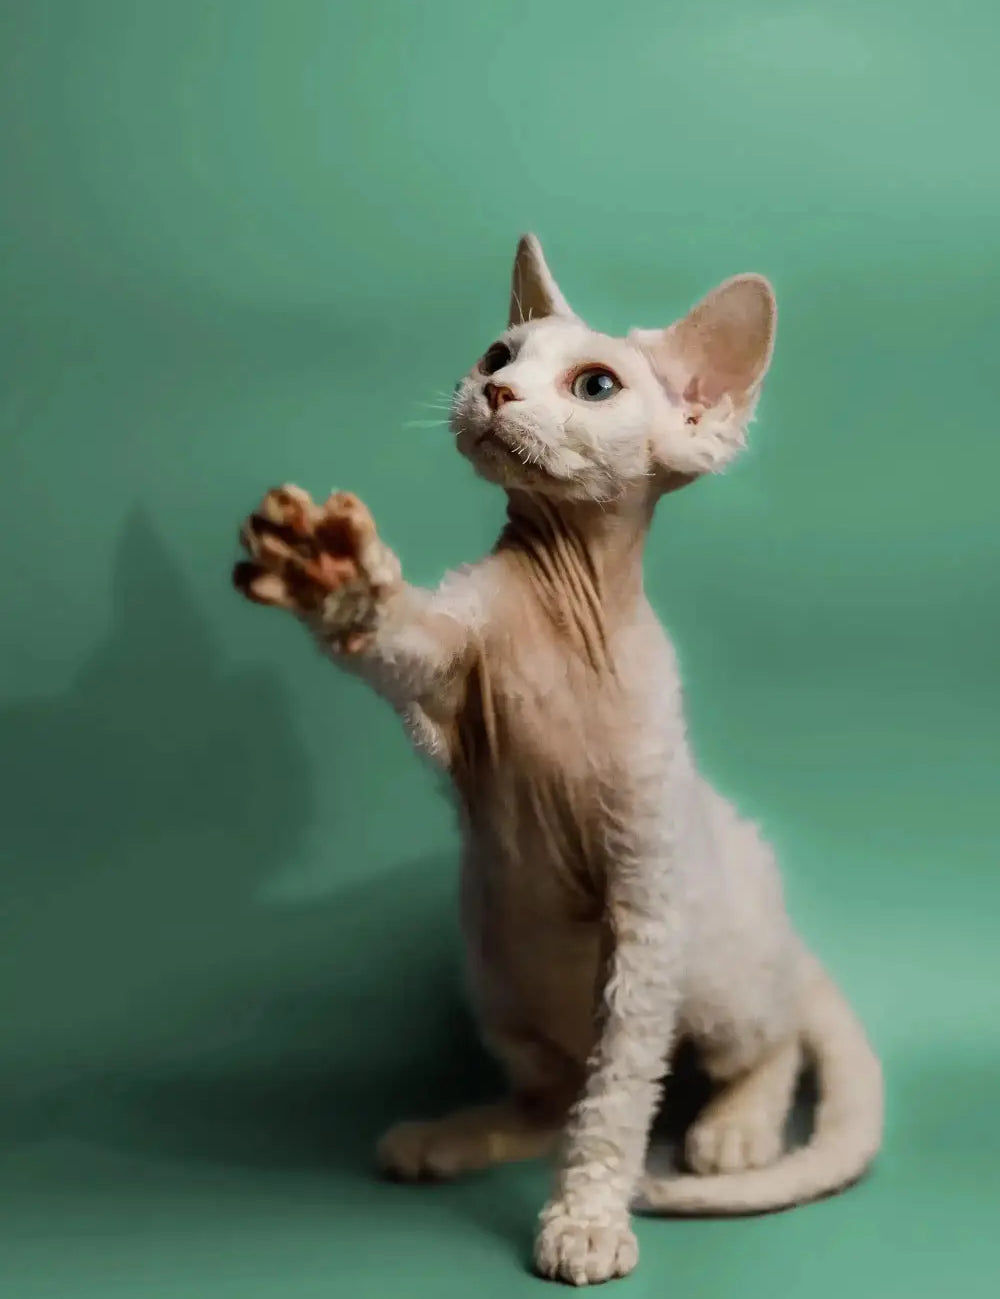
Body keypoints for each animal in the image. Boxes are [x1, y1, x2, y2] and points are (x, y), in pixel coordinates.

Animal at [231, 236, 883, 1288]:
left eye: (595, 384)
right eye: (498, 352)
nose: (493, 392)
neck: (560, 606)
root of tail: (791, 936)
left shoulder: (647, 912)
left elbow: (617, 1098)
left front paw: (586, 1218)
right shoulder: (449, 683)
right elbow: (396, 634)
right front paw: (334, 575)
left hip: (718, 966)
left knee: (768, 1038)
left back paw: (736, 1127)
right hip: (496, 962)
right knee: (551, 1098)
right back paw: (452, 1135)